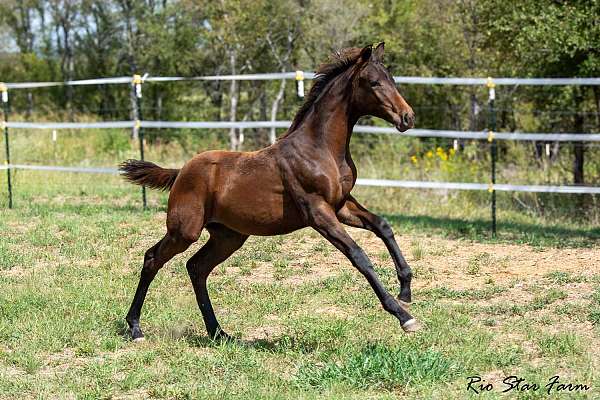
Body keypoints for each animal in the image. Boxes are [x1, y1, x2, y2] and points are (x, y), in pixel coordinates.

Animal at [119, 43, 420, 340]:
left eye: (392, 80)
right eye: (374, 82)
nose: (408, 117)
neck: (319, 149)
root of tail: (181, 171)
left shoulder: (342, 204)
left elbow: (383, 226)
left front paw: (405, 290)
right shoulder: (318, 212)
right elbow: (359, 256)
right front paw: (404, 316)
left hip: (228, 236)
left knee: (196, 268)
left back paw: (218, 332)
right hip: (184, 230)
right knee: (153, 258)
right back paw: (135, 328)